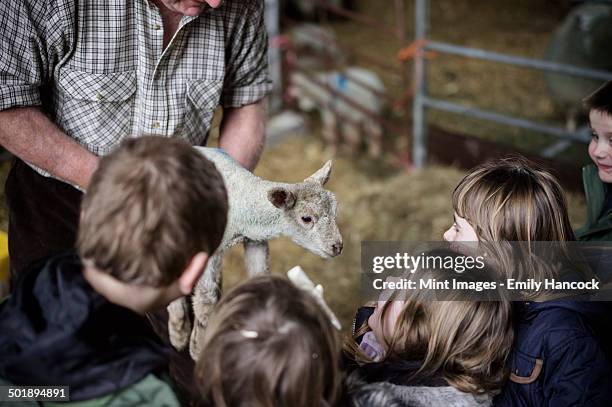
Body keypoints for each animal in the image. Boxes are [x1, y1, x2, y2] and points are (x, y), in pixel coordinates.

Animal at [167, 147, 342, 360]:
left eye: (335, 211)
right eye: (306, 218)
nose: (337, 246)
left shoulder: (255, 241)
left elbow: (260, 275)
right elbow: (206, 297)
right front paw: (198, 348)